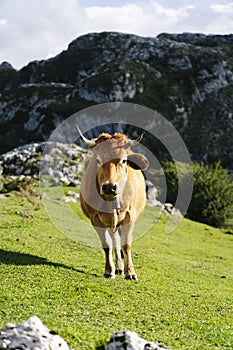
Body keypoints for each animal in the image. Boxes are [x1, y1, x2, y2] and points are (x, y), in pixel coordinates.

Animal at [77, 124, 148, 280]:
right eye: (98, 160)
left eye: (124, 161)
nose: (109, 187)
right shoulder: (95, 218)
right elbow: (107, 245)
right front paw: (109, 270)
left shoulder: (129, 215)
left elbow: (126, 245)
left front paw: (130, 272)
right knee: (114, 239)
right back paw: (119, 268)